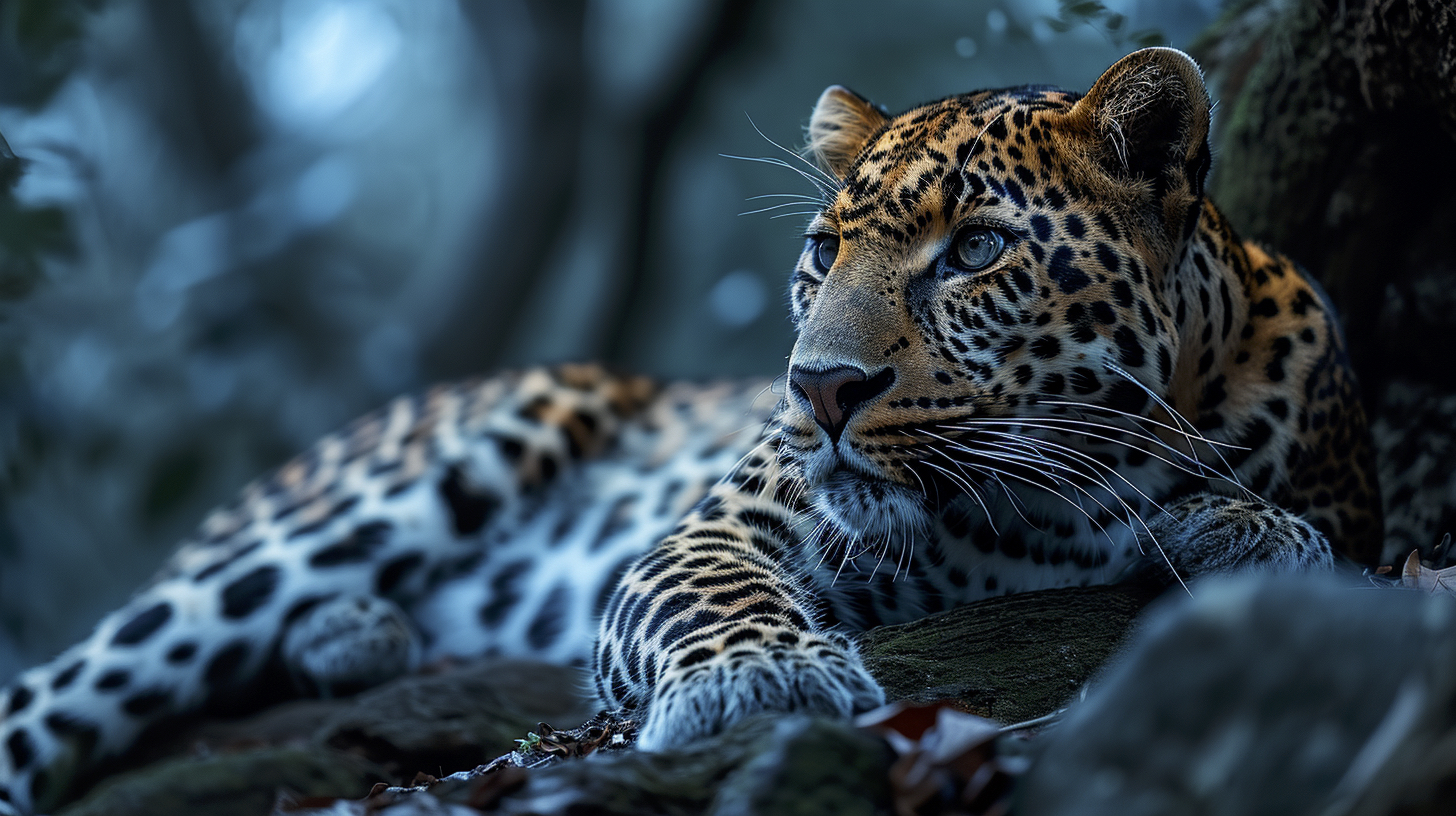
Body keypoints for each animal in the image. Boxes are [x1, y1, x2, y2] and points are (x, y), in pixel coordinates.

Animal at [0, 47, 1383, 814]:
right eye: (823, 252)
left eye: (976, 250)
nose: (817, 389)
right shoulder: (709, 531)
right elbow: (709, 593)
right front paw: (755, 678)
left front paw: (1242, 528)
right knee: (60, 693)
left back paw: (357, 636)